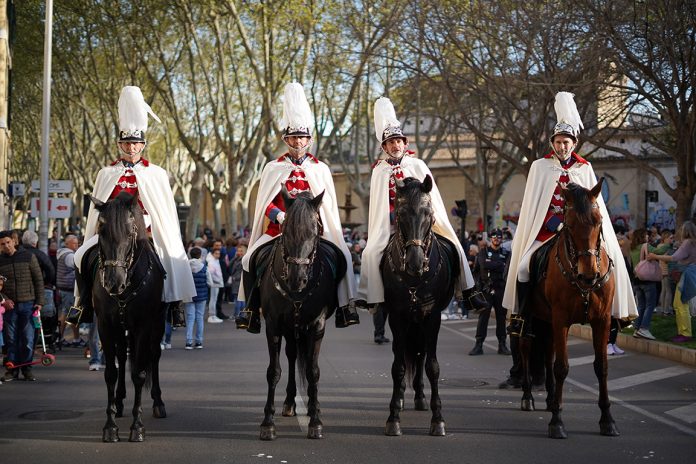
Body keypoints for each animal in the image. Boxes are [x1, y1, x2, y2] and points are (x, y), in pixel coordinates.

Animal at [89, 192, 167, 442]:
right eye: (101, 230)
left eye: (131, 230)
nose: (114, 282)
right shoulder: (105, 325)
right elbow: (111, 373)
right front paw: (110, 426)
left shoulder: (143, 325)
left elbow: (139, 373)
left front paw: (137, 427)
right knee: (123, 357)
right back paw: (120, 402)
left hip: (158, 323)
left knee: (154, 355)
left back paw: (158, 403)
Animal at [253, 188, 346, 438]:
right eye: (285, 231)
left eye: (314, 232)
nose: (297, 280)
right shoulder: (274, 325)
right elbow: (273, 371)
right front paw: (267, 423)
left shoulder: (316, 325)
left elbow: (313, 371)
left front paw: (315, 421)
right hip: (290, 327)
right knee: (292, 356)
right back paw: (289, 403)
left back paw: (313, 407)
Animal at [378, 176, 460, 436]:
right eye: (401, 213)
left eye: (429, 213)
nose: (415, 263)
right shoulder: (397, 318)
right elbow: (398, 367)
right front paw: (393, 417)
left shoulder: (431, 317)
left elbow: (432, 366)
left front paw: (438, 419)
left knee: (421, 354)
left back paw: (421, 398)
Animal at [516, 178, 620, 438]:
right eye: (570, 225)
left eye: (598, 221)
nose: (589, 275)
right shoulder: (561, 318)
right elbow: (561, 367)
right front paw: (557, 422)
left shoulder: (602, 320)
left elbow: (601, 367)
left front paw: (607, 419)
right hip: (529, 316)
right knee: (526, 347)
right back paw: (528, 397)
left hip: (548, 321)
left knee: (547, 351)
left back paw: (551, 398)